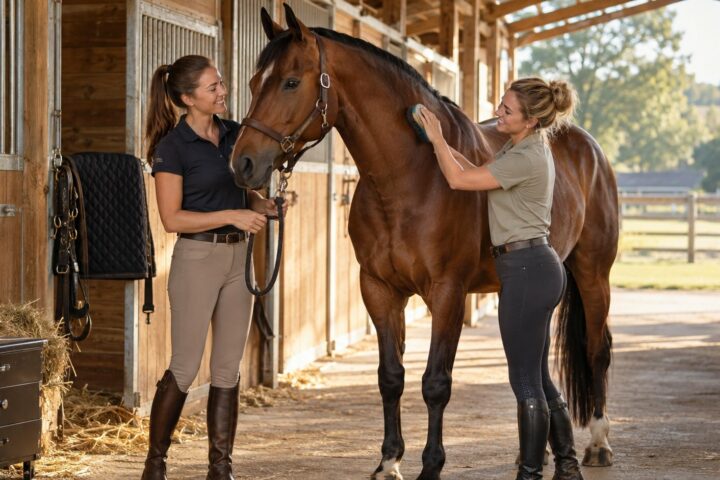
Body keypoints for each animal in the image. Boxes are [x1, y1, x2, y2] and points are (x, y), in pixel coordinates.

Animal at [231, 5, 618, 479]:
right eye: (254, 83)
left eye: (289, 82)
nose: (243, 163)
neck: (411, 176)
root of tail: (585, 144)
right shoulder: (379, 290)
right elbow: (391, 377)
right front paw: (388, 461)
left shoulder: (447, 293)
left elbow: (435, 383)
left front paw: (431, 465)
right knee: (534, 366)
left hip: (593, 273)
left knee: (596, 350)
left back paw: (598, 443)